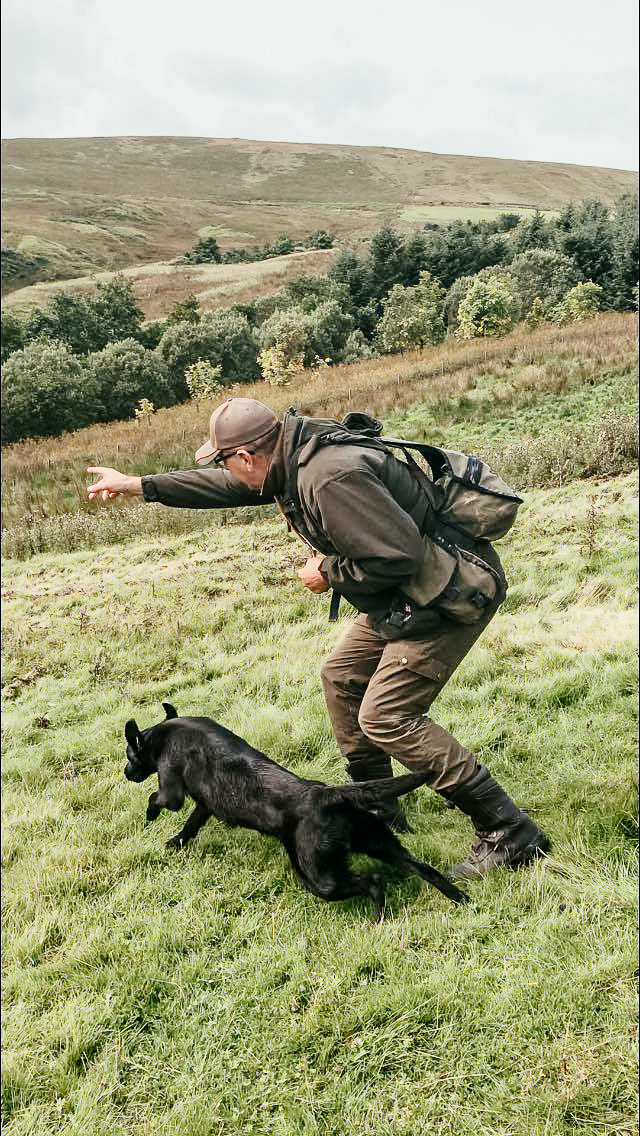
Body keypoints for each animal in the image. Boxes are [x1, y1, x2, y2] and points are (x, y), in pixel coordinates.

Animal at [125, 699, 468, 913]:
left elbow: (158, 799)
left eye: (129, 756)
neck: (167, 732)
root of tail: (329, 795)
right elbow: (191, 825)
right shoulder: (205, 805)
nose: (126, 773)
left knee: (372, 882)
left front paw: (150, 814)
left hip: (316, 875)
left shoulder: (172, 789)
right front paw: (176, 842)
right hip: (382, 843)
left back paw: (378, 918)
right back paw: (461, 899)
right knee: (425, 869)